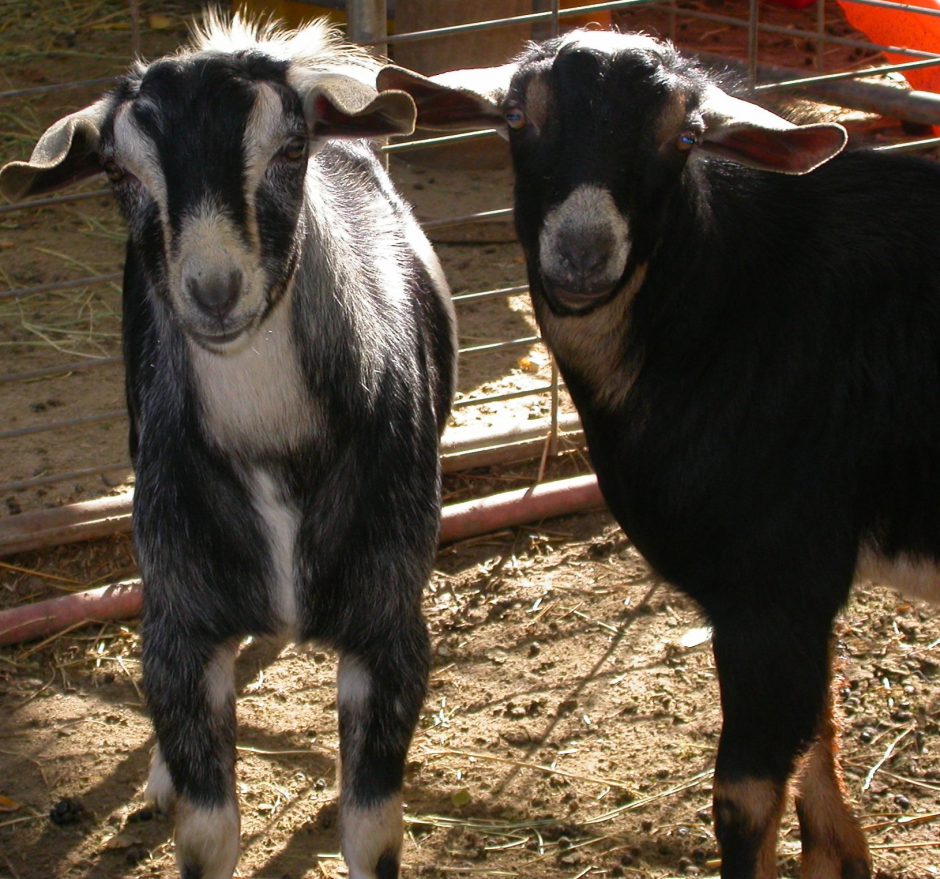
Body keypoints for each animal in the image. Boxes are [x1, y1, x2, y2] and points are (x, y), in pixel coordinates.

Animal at [1, 15, 456, 879]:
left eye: (290, 147)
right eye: (118, 171)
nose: (214, 291)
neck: (271, 447)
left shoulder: (390, 620)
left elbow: (372, 830)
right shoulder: (181, 609)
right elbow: (207, 834)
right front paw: (176, 782)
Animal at [380, 29, 939, 879]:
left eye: (684, 137)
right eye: (516, 116)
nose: (582, 254)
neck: (727, 314)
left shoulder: (774, 584)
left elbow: (744, 799)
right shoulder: (805, 596)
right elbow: (819, 747)